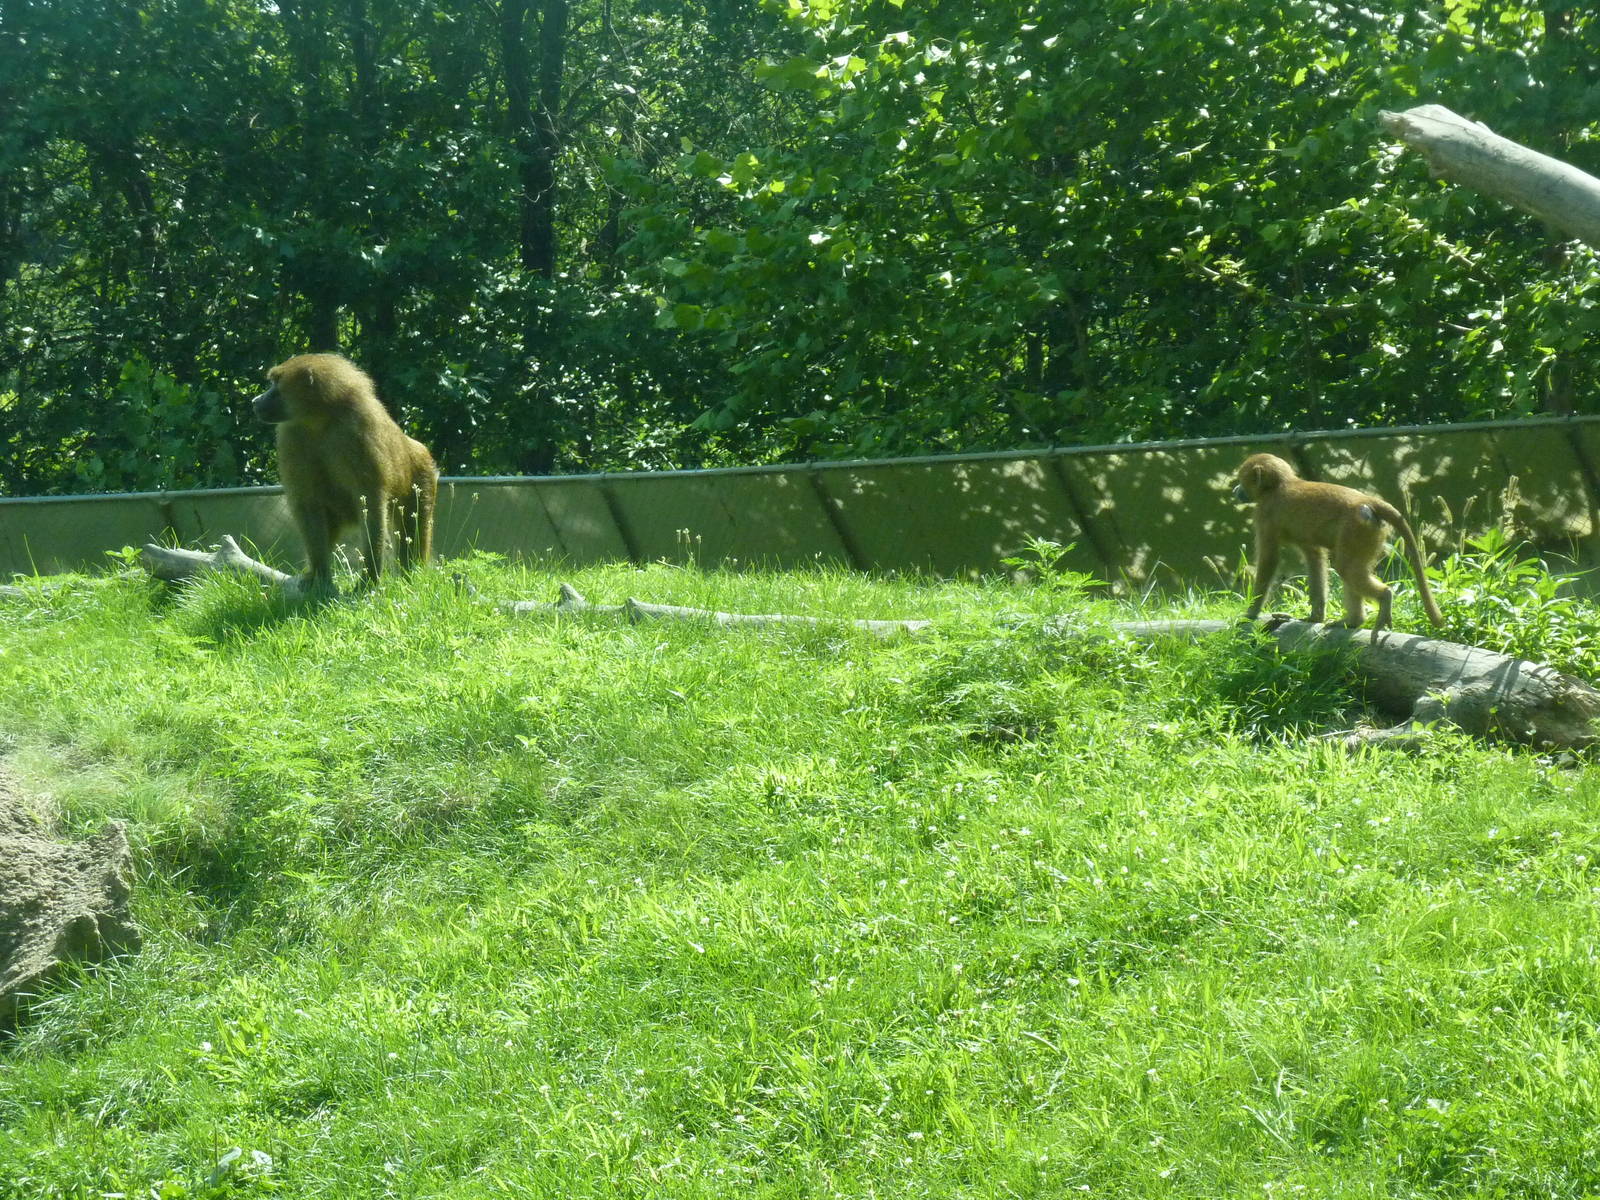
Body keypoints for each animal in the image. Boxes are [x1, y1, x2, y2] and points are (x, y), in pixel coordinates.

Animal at [253, 353, 438, 593]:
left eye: (275, 383)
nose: (255, 401)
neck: (320, 420)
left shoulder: (357, 431)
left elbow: (370, 503)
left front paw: (368, 579)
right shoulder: (291, 435)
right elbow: (308, 503)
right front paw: (319, 576)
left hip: (423, 477)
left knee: (413, 527)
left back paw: (412, 575)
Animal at [1232, 452, 1442, 631]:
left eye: (1242, 480)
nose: (1235, 490)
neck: (1279, 485)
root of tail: (1365, 500)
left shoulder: (1263, 514)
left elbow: (1269, 559)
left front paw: (1250, 614)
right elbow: (1315, 558)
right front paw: (1315, 617)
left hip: (1355, 529)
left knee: (1345, 567)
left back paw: (1384, 597)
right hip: (1368, 531)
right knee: (1348, 568)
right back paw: (1354, 621)